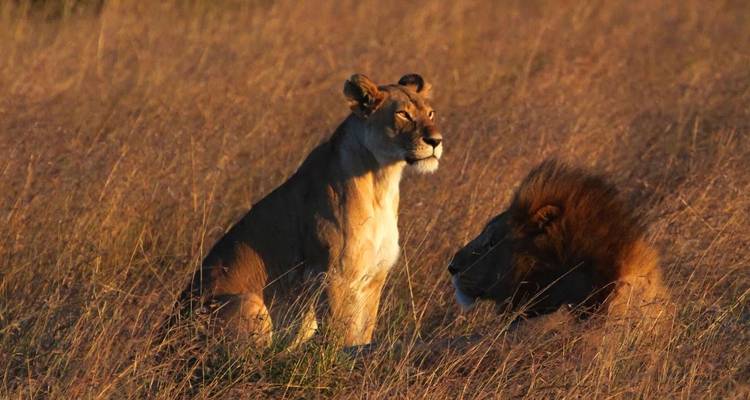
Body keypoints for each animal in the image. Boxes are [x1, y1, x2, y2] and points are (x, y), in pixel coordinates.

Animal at [173, 73, 443, 349]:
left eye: (430, 113)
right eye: (403, 114)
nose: (436, 141)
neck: (382, 180)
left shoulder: (374, 279)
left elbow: (362, 334)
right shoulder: (333, 275)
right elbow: (340, 338)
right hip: (247, 302)